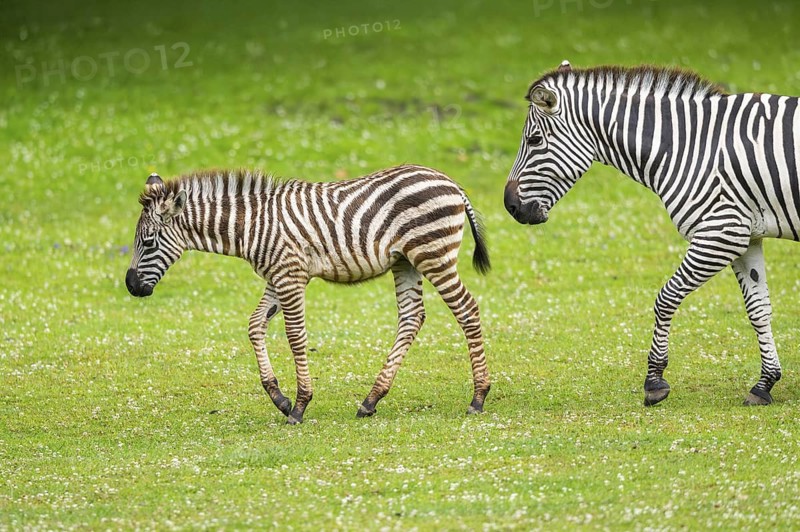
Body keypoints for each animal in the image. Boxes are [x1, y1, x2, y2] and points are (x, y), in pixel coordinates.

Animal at [126, 164, 491, 424]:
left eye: (148, 242)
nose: (130, 286)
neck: (251, 226)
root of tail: (450, 181)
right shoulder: (277, 277)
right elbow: (255, 325)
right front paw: (279, 398)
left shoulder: (290, 276)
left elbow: (295, 336)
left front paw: (300, 405)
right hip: (405, 261)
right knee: (412, 317)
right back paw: (371, 400)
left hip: (433, 254)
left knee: (467, 309)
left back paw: (478, 397)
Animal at [504, 61, 799, 407]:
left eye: (535, 140)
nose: (509, 205)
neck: (687, 146)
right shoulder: (746, 236)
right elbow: (758, 310)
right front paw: (765, 383)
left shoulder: (720, 233)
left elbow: (666, 298)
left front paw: (655, 380)